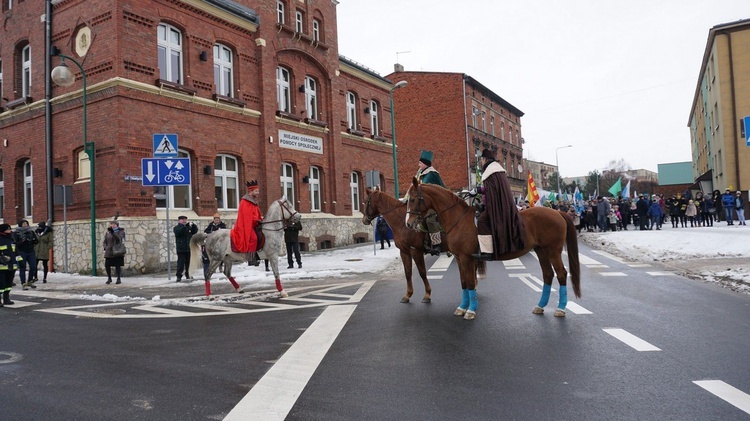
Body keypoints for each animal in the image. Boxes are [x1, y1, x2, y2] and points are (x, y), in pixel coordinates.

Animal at [408, 177, 584, 318]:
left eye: (413, 199)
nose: (409, 224)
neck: (458, 218)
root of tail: (558, 213)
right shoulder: (459, 258)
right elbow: (464, 282)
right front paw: (462, 308)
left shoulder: (466, 258)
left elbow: (470, 282)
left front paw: (471, 310)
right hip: (541, 250)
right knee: (548, 274)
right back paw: (540, 306)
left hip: (553, 250)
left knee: (561, 274)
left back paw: (560, 309)